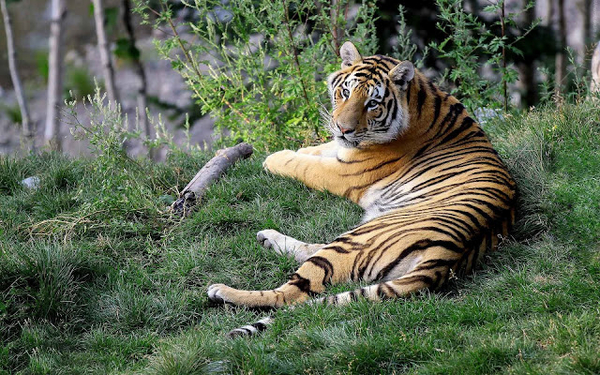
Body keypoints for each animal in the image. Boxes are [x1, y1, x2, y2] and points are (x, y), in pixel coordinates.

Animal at [206, 41, 516, 338]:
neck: (420, 99)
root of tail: (447, 258)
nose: (343, 128)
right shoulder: (343, 151)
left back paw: (222, 291)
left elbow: (304, 165)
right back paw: (267, 238)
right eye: (345, 92)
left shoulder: (344, 172)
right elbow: (318, 149)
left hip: (356, 239)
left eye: (372, 103)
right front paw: (301, 149)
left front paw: (274, 158)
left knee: (291, 294)